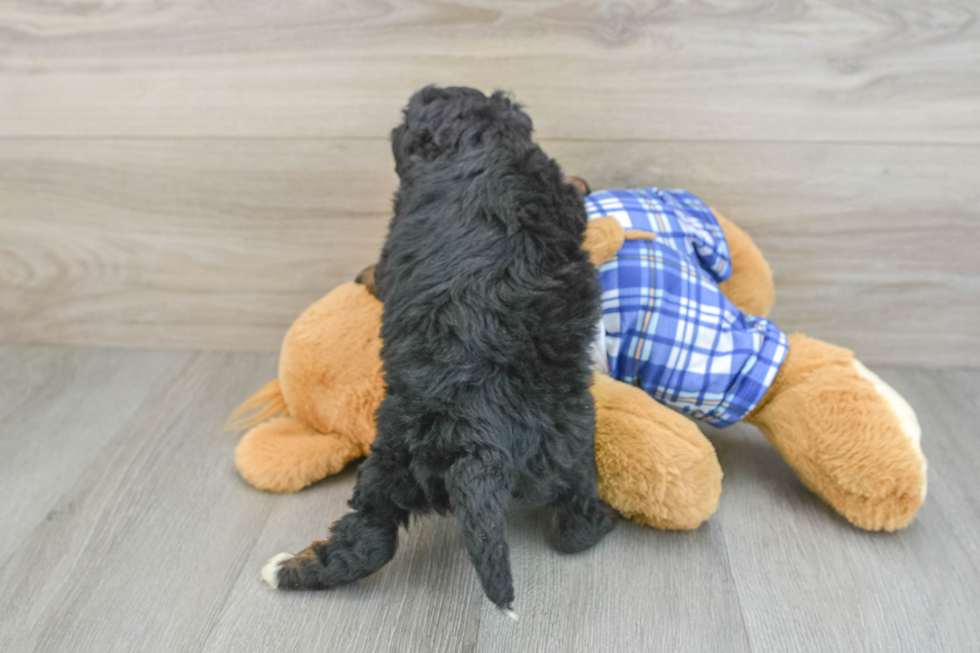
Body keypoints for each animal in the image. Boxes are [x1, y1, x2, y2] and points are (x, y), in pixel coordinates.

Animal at [260, 84, 612, 612]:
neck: (478, 142)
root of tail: (480, 446)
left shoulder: (396, 239)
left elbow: (380, 271)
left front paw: (362, 275)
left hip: (397, 462)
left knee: (370, 539)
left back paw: (289, 568)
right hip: (567, 445)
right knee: (574, 526)